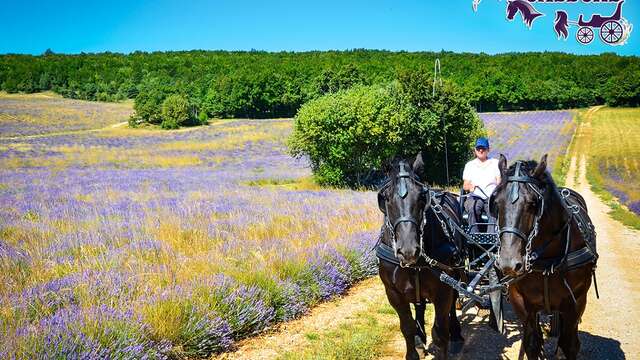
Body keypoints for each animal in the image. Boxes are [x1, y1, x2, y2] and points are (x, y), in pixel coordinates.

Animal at [378, 155, 462, 360]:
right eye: (386, 198)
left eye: (422, 197)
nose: (408, 251)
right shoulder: (393, 293)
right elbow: (406, 327)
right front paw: (414, 349)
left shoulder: (443, 291)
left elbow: (440, 332)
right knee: (419, 305)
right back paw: (420, 338)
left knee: (453, 301)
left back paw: (456, 333)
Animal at [490, 155, 600, 360]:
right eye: (496, 203)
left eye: (533, 203)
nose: (509, 263)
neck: (548, 259)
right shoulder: (521, 302)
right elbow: (532, 344)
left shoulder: (576, 303)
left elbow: (569, 345)